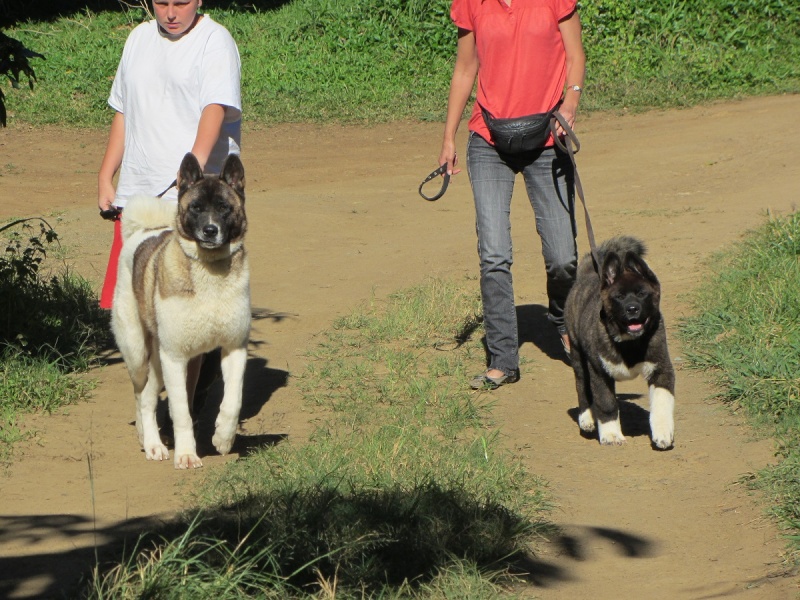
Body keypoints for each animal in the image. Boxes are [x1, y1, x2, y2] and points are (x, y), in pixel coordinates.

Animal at [112, 151, 250, 468]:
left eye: (224, 207)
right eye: (196, 207)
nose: (210, 230)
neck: (210, 276)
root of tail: (145, 230)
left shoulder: (234, 348)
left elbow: (233, 400)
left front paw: (223, 438)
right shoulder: (174, 357)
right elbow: (181, 414)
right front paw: (186, 454)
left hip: (162, 360)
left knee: (152, 395)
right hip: (138, 354)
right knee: (142, 397)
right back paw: (150, 443)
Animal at [564, 237, 676, 448]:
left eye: (642, 294)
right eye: (620, 297)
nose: (632, 309)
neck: (629, 343)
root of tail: (587, 273)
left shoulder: (661, 368)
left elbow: (662, 403)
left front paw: (663, 433)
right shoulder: (599, 372)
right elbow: (606, 403)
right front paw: (611, 434)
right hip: (577, 353)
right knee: (582, 386)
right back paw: (586, 419)